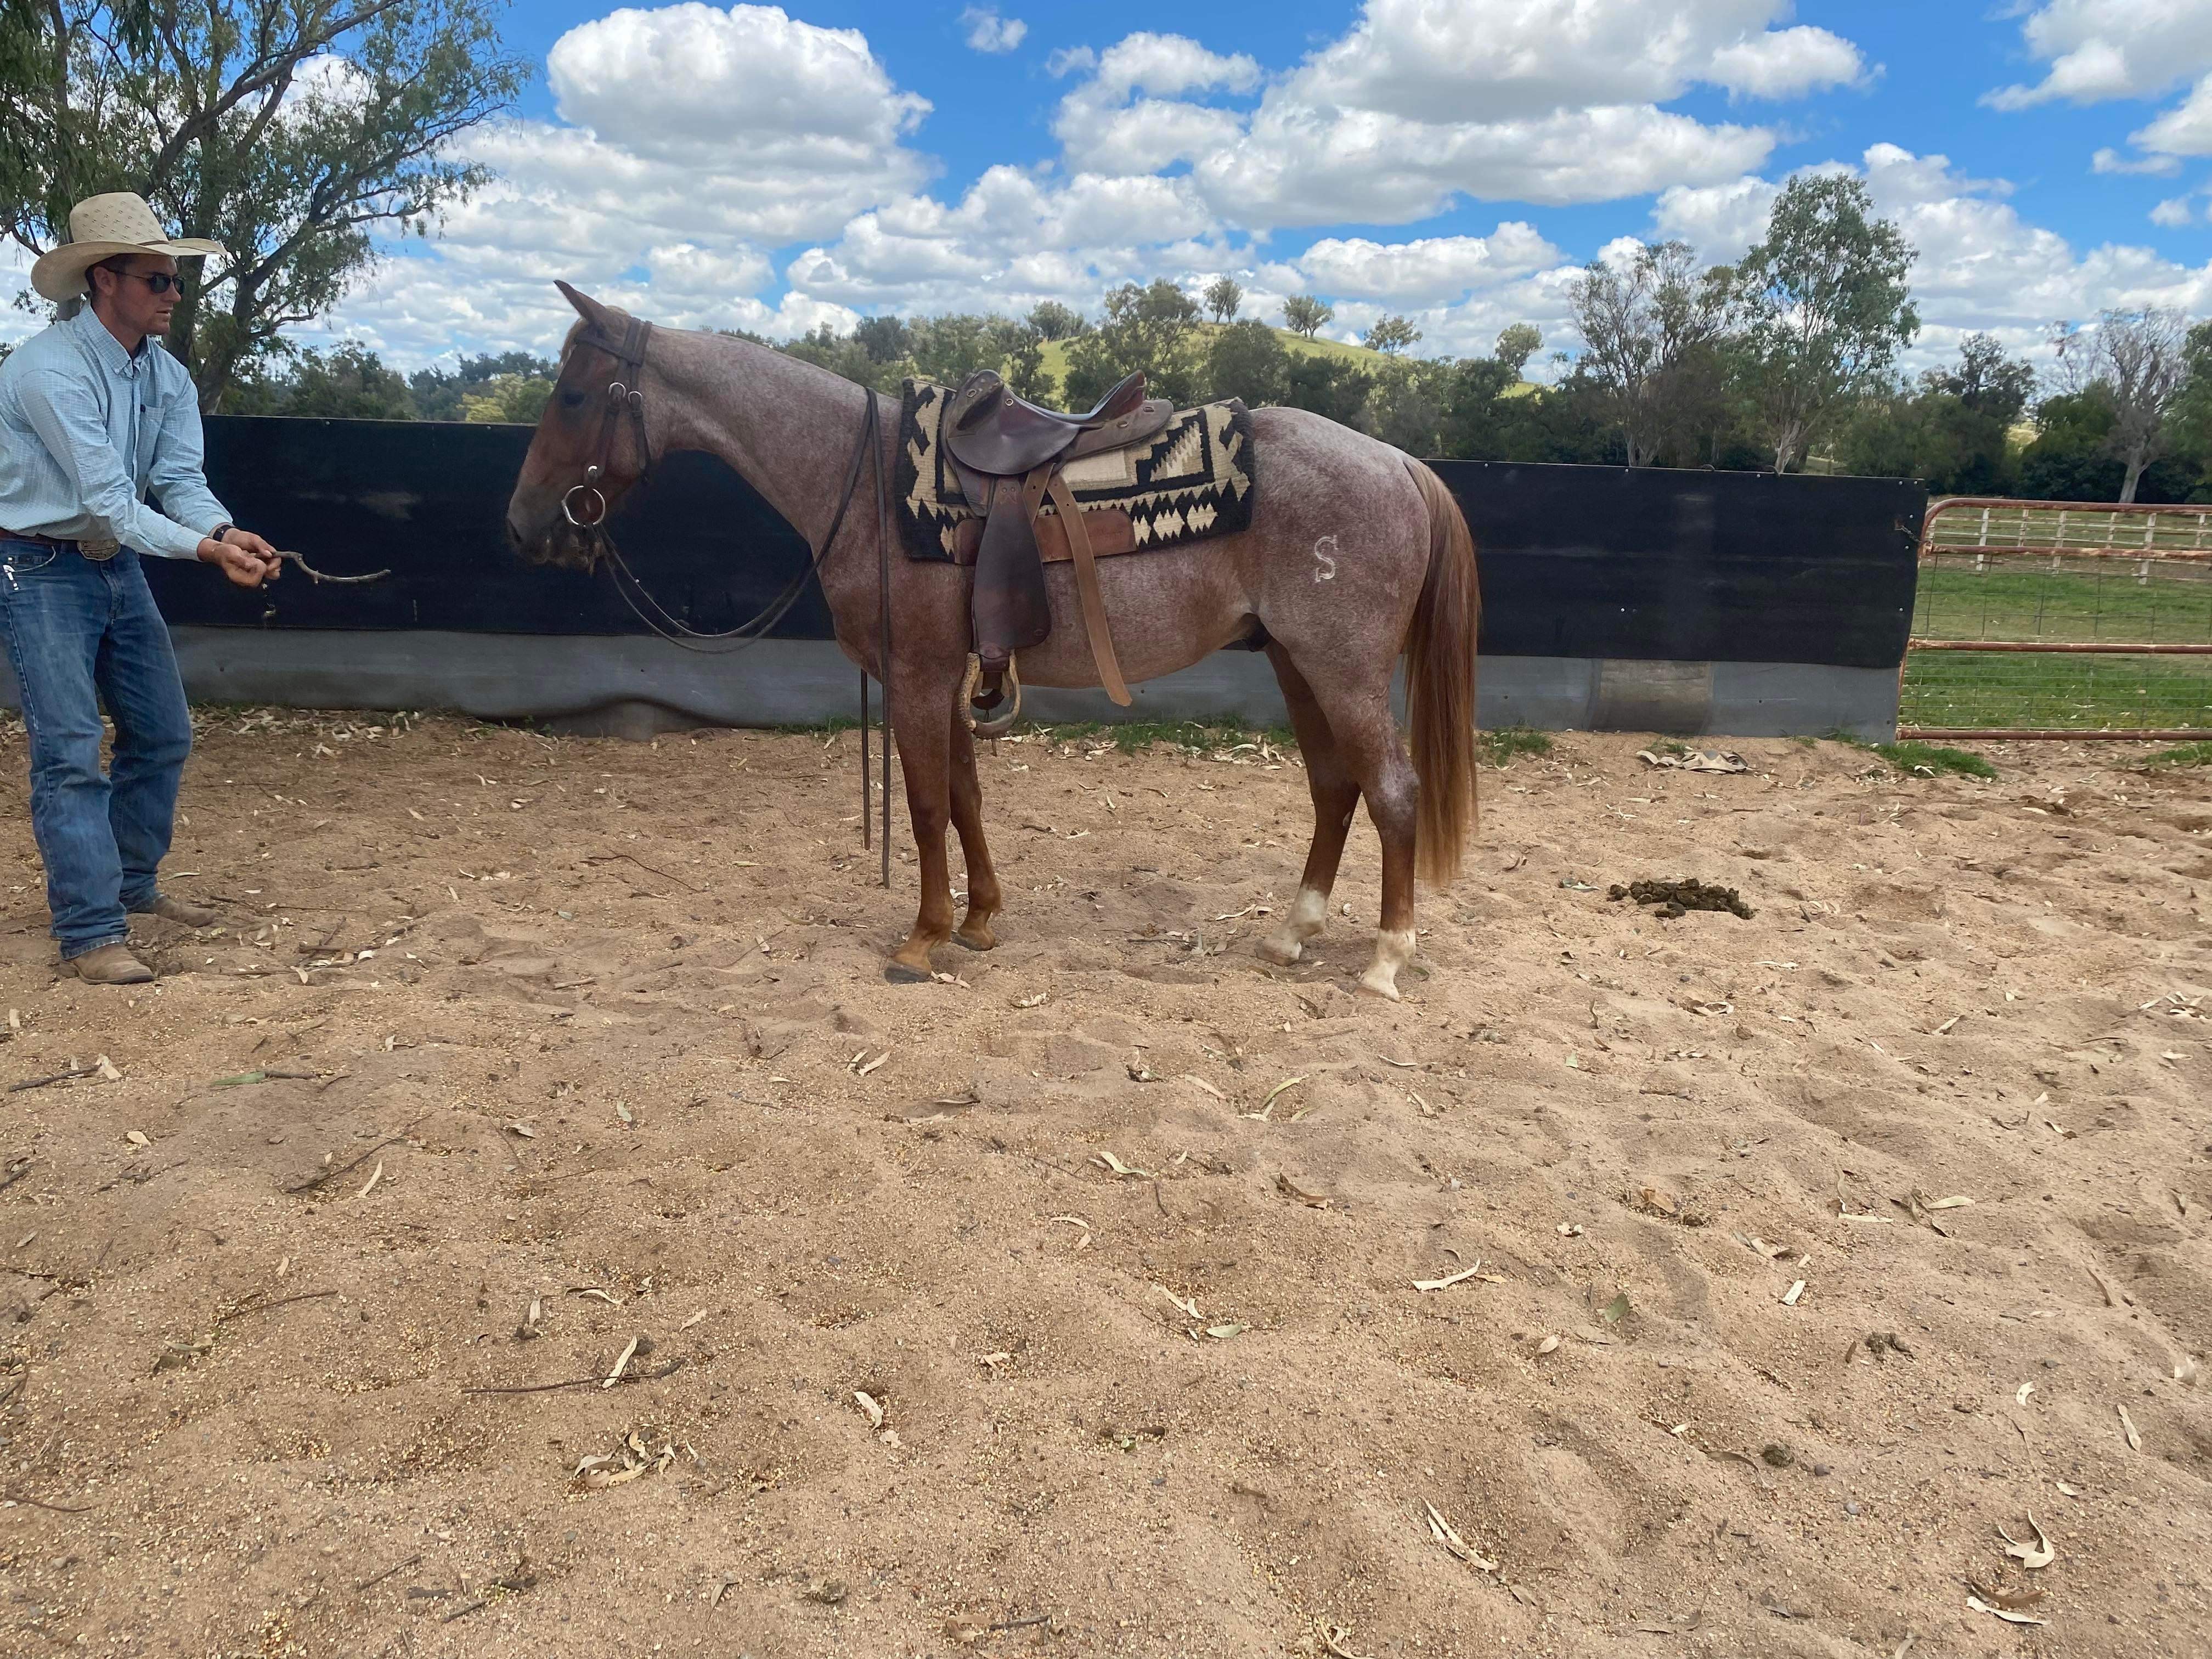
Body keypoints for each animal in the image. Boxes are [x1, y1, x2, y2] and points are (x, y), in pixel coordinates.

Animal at [502, 283, 1479, 999]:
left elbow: (927, 804)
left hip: (1341, 668)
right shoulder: (951, 673)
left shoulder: (917, 672)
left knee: (1391, 791)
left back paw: (1387, 957)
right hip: (1294, 662)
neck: (863, 479)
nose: (523, 525)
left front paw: (922, 938)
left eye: (574, 394)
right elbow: (966, 797)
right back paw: (1292, 933)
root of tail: (1400, 463)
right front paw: (978, 921)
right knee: (1334, 788)